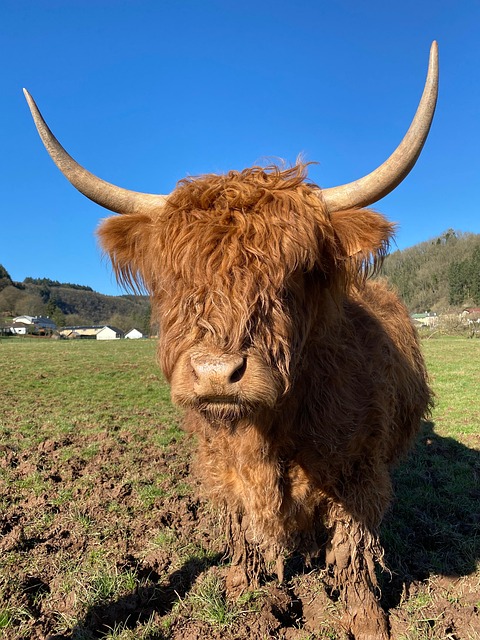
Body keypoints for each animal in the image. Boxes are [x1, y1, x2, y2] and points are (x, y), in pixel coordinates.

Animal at [24, 42, 438, 640]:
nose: (218, 374)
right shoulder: (223, 468)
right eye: (174, 280)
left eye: (295, 273)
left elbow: (353, 550)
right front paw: (244, 590)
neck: (272, 431)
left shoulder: (358, 472)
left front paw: (367, 619)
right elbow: (243, 531)